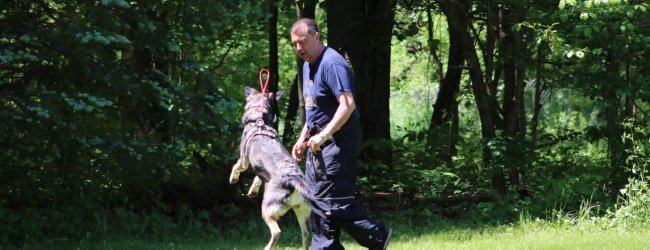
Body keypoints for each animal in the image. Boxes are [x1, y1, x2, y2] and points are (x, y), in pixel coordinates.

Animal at [229, 86, 318, 250]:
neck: (260, 120)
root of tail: (293, 178)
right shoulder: (258, 169)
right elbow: (257, 178)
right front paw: (252, 190)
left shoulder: (244, 160)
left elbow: (236, 166)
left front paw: (233, 178)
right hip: (301, 212)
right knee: (306, 234)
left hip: (267, 211)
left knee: (277, 231)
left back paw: (267, 247)